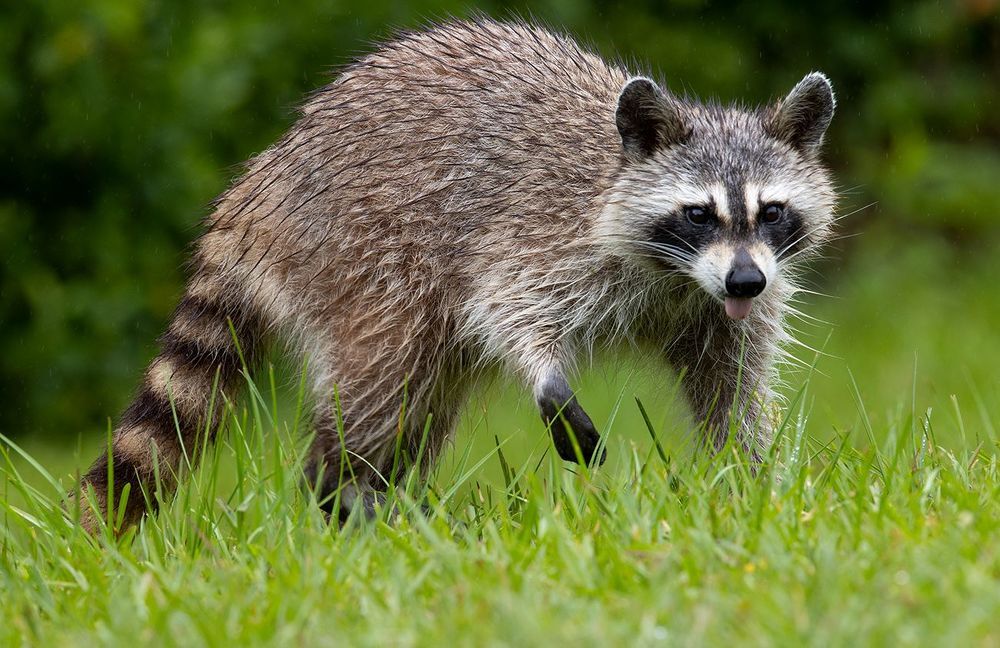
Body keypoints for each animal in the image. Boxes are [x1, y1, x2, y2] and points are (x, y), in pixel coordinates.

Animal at [72, 18, 836, 532]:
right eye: (699, 214)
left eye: (771, 212)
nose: (744, 284)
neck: (680, 276)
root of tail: (264, 181)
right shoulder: (537, 233)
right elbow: (509, 308)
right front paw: (546, 376)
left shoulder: (720, 307)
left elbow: (731, 387)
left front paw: (749, 483)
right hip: (362, 255)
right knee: (382, 385)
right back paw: (339, 491)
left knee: (421, 404)